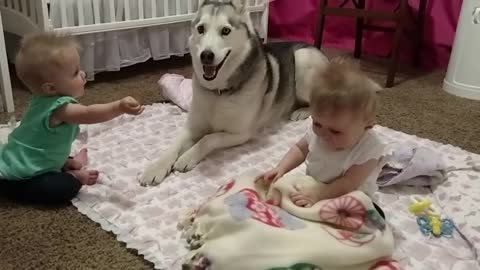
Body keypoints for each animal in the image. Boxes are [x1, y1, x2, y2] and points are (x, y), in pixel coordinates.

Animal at [139, 0, 330, 186]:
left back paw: (301, 111)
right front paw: (155, 168)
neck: (218, 93)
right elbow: (174, 145)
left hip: (303, 59)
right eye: (201, 29)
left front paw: (187, 157)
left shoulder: (241, 134)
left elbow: (209, 138)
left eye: (225, 30)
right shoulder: (193, 127)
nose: (206, 55)